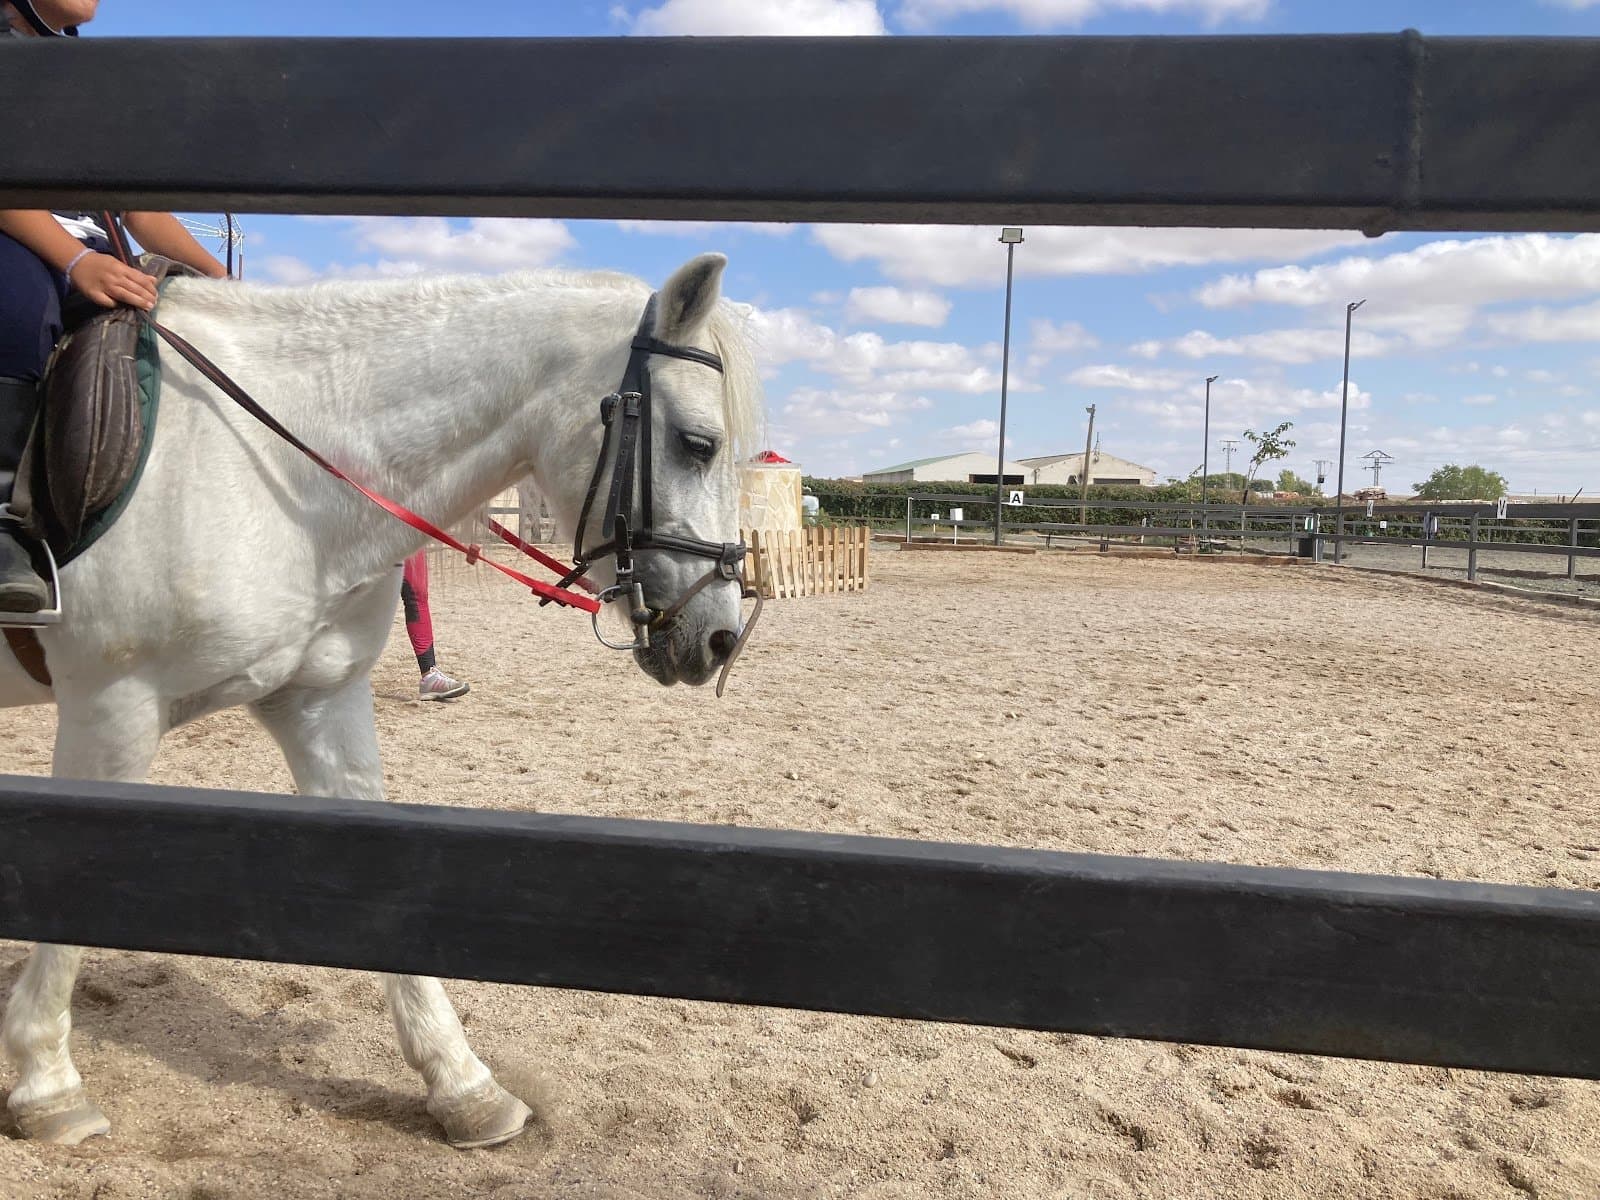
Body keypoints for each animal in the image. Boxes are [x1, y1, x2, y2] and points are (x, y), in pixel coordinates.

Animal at [0, 252, 762, 1148]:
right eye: (698, 444)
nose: (721, 637)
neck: (271, 471)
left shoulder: (318, 700)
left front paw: (465, 1086)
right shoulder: (111, 709)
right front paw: (47, 1084)